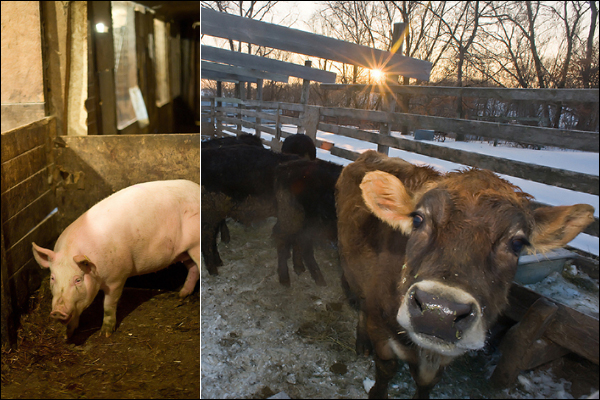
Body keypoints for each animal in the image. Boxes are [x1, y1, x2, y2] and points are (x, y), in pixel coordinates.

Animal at [31, 180, 200, 340]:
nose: (57, 312)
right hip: (185, 252)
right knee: (193, 268)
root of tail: (197, 188)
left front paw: (105, 334)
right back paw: (181, 295)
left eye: (78, 279)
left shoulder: (117, 278)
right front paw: (67, 335)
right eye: (53, 278)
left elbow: (108, 305)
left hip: (196, 245)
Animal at [274, 158, 342, 286]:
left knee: (298, 239)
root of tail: (285, 167)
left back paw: (300, 267)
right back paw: (286, 277)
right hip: (294, 216)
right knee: (285, 239)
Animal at [336, 151, 592, 400]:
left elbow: (427, 381)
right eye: (418, 220)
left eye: (517, 242)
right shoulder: (381, 328)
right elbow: (386, 368)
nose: (439, 312)